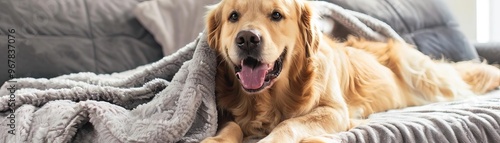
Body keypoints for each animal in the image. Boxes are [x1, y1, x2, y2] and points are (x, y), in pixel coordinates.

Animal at [201, 0, 500, 142]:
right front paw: (216, 140)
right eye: (233, 16)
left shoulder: (334, 111)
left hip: (426, 76)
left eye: (276, 15)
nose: (247, 39)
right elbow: (229, 126)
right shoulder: (228, 112)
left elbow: (289, 124)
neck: (269, 98)